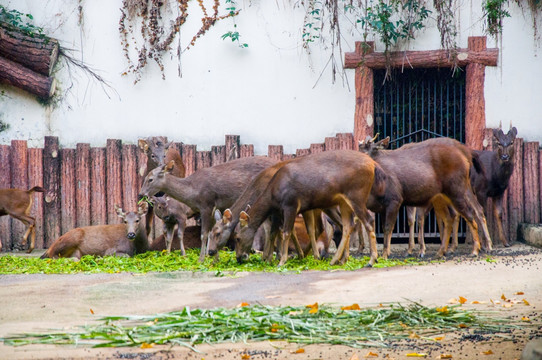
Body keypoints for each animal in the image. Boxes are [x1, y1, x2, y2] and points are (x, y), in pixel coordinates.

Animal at [139, 156, 280, 260]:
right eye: (144, 178)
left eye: (150, 179)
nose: (140, 194)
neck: (193, 192)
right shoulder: (212, 209)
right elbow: (211, 231)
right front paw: (209, 254)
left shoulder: (207, 205)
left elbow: (204, 234)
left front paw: (201, 258)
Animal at [236, 150, 384, 266]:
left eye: (236, 237)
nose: (238, 258)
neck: (273, 195)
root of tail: (373, 164)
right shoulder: (279, 210)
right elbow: (274, 232)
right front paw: (268, 260)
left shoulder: (291, 204)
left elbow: (286, 232)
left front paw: (282, 261)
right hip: (344, 202)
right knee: (347, 225)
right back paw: (339, 260)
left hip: (357, 196)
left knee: (368, 221)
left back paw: (371, 260)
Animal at [362, 135, 492, 258]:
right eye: (360, 148)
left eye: (371, 148)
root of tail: (467, 154)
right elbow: (410, 220)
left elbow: (414, 220)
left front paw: (417, 250)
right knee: (466, 212)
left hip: (458, 190)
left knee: (468, 212)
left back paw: (477, 248)